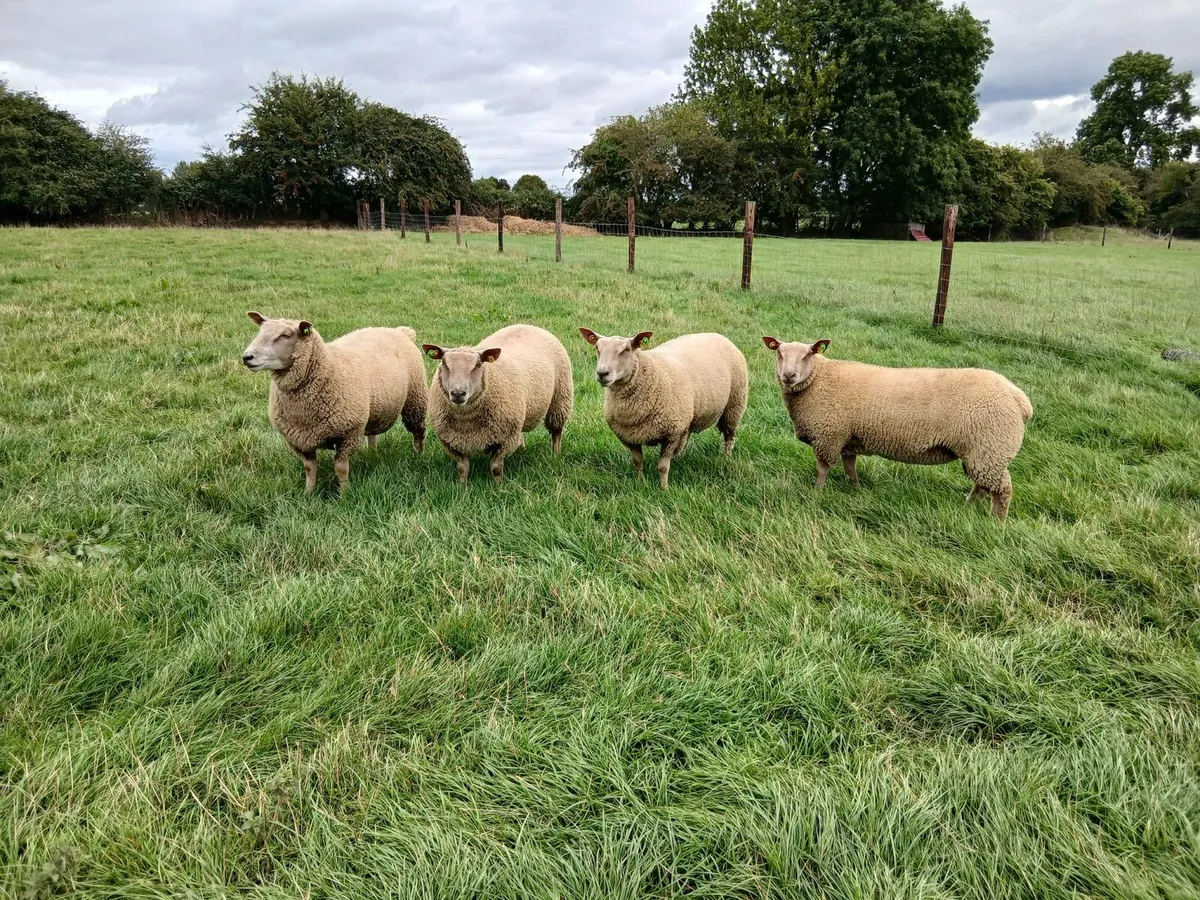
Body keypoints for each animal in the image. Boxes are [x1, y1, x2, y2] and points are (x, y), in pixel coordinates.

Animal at [242, 312, 427, 493]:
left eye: (285, 335)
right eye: (260, 331)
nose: (247, 357)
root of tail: (399, 331)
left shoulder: (349, 434)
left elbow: (341, 469)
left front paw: (344, 494)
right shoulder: (299, 440)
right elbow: (309, 469)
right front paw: (308, 493)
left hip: (415, 399)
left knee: (418, 432)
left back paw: (417, 457)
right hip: (374, 408)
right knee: (372, 434)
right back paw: (372, 454)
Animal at [423, 324, 573, 483]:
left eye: (478, 365)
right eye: (445, 363)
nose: (458, 393)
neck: (466, 420)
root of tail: (529, 325)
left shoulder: (505, 439)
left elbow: (496, 468)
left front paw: (498, 485)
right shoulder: (451, 443)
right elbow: (462, 468)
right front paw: (462, 485)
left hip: (560, 399)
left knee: (556, 432)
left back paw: (555, 455)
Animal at [579, 329, 749, 489]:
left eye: (626, 349)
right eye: (597, 348)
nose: (602, 373)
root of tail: (717, 335)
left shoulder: (671, 434)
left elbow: (662, 467)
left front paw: (664, 488)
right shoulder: (630, 436)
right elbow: (637, 462)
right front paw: (640, 482)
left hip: (734, 404)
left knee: (729, 435)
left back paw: (726, 458)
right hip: (688, 417)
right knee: (686, 438)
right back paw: (679, 459)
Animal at [762, 336, 1033, 520]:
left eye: (808, 354)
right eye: (780, 353)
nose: (788, 375)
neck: (818, 380)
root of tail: (1019, 398)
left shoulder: (828, 434)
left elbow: (822, 469)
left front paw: (817, 493)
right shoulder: (848, 436)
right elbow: (850, 467)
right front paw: (855, 489)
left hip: (990, 449)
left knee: (1002, 491)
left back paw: (997, 522)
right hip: (982, 454)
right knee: (982, 487)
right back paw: (967, 509)